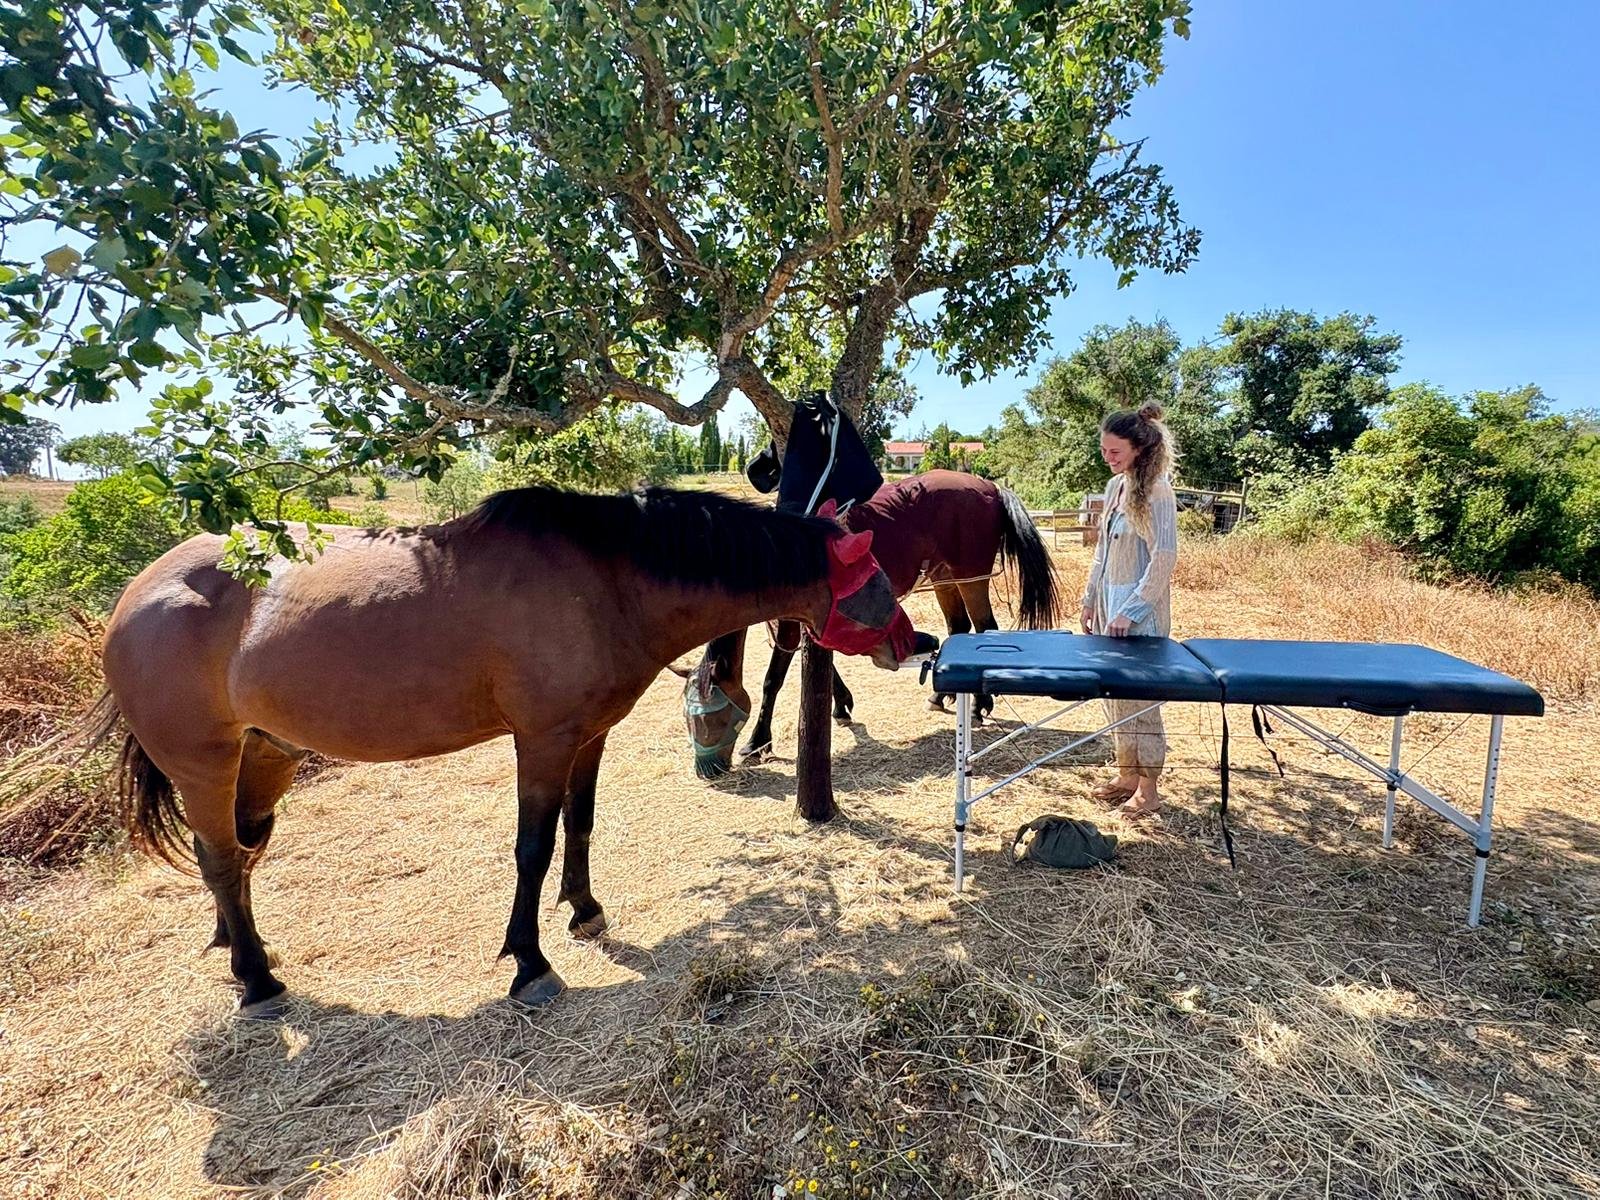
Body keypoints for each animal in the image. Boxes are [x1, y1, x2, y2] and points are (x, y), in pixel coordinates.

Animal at [82, 484, 935, 1015]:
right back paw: (256, 980)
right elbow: (533, 846)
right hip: (204, 762)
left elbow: (580, 825)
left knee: (228, 852)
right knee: (224, 858)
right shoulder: (543, 740)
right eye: (875, 577)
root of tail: (134, 596)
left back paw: (238, 944)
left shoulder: (589, 735)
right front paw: (530, 963)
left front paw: (584, 911)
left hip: (265, 756)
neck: (605, 580)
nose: (915, 642)